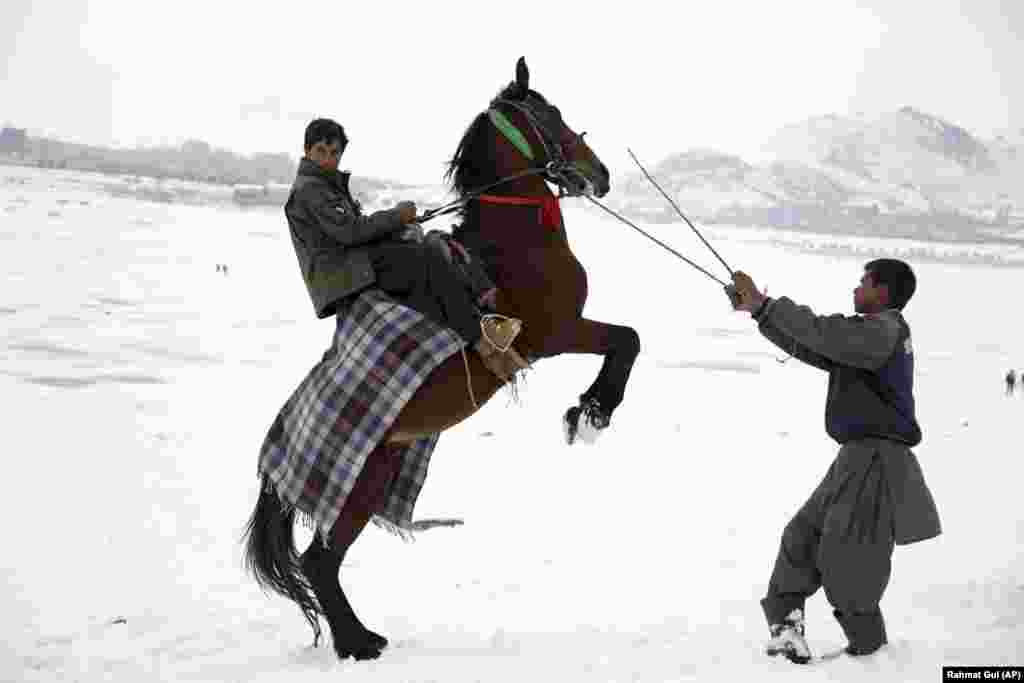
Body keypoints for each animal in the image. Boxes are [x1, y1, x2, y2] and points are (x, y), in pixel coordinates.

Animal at [241, 57, 638, 663]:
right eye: (550, 114)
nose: (600, 173)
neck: (512, 246)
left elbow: (628, 341)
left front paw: (589, 412)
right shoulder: (557, 332)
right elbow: (627, 341)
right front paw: (593, 413)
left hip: (373, 479)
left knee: (323, 561)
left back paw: (361, 638)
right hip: (357, 485)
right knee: (318, 562)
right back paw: (358, 643)